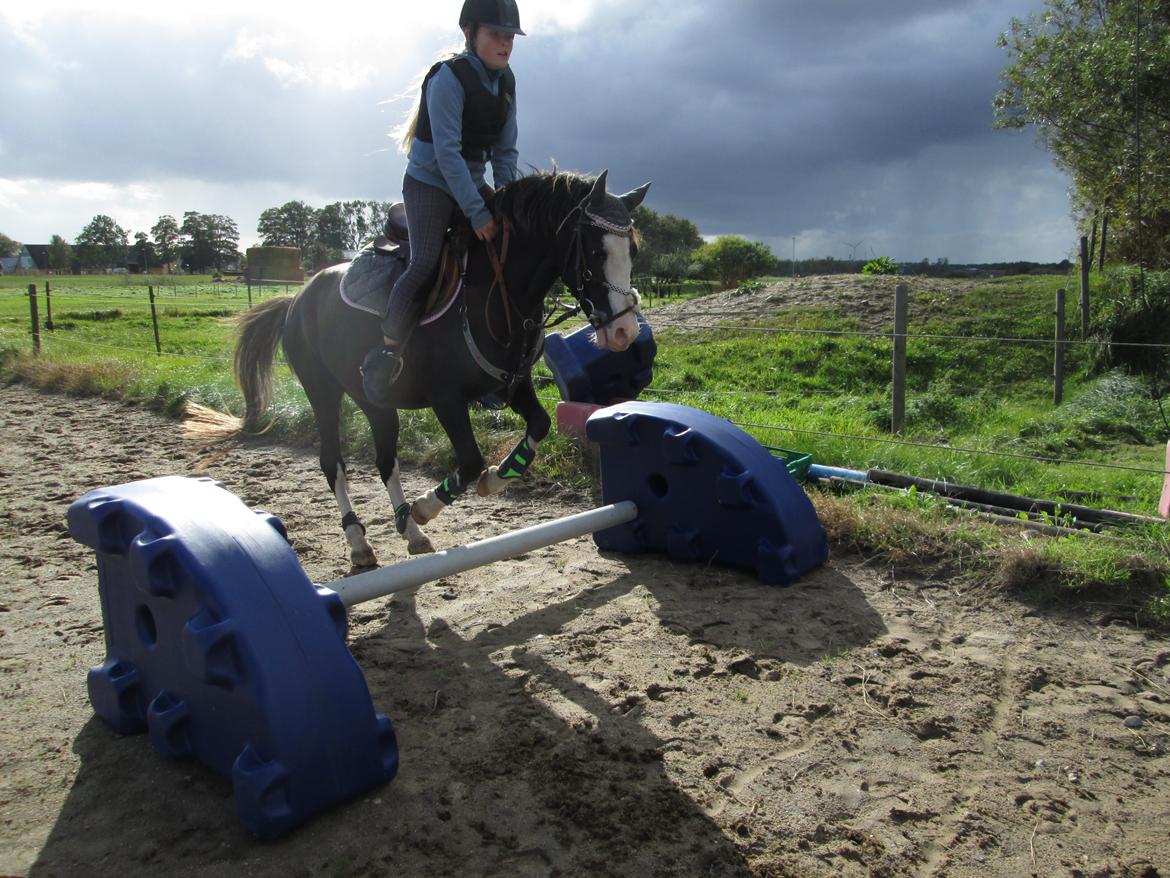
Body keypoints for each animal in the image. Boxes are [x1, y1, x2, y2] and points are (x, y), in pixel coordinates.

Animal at [228, 172, 650, 571]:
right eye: (595, 250)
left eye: (632, 250)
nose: (625, 333)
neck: (492, 291)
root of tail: (297, 297)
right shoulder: (446, 398)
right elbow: (470, 460)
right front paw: (428, 505)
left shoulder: (514, 385)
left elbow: (540, 425)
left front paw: (496, 478)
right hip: (323, 392)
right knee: (333, 462)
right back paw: (360, 542)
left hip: (377, 403)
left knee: (386, 460)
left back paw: (410, 532)